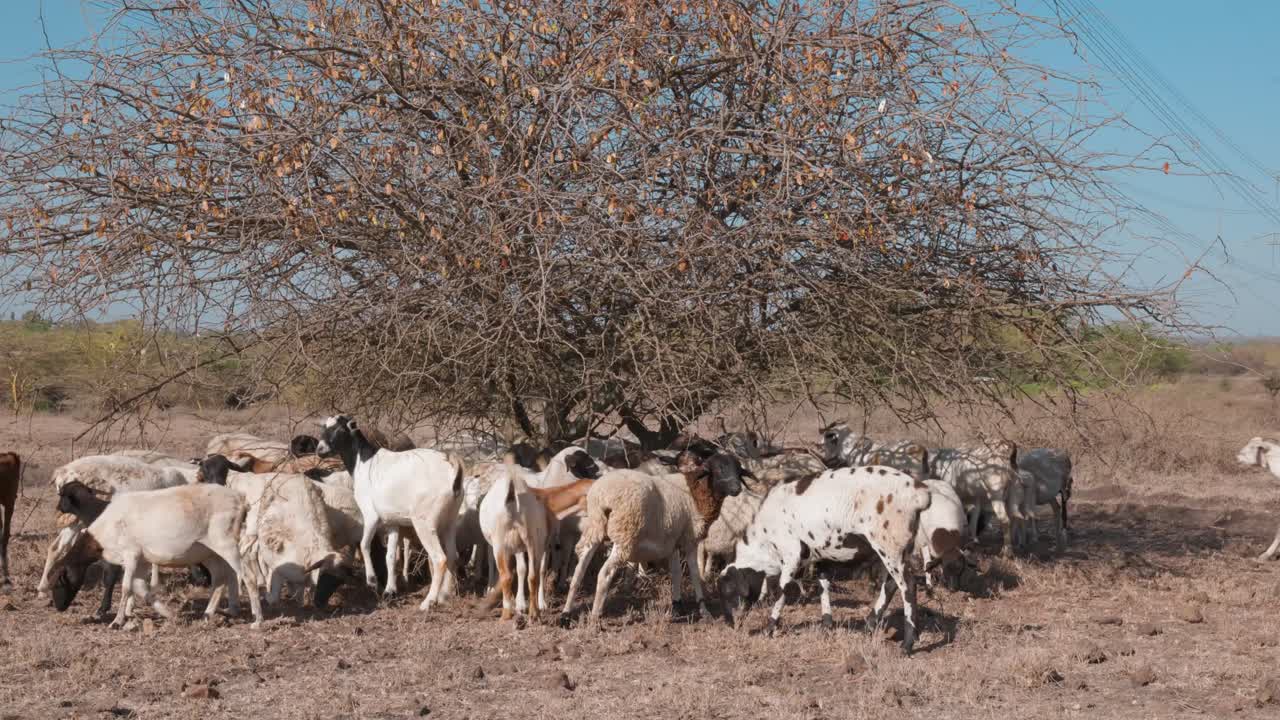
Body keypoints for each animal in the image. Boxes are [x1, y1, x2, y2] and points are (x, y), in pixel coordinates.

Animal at [50, 480, 263, 629]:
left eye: (58, 582)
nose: (58, 607)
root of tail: (240, 500)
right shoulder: (142, 560)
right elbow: (140, 588)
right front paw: (169, 613)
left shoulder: (131, 554)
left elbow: (126, 588)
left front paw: (117, 621)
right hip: (209, 553)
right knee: (219, 580)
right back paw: (208, 614)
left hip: (227, 544)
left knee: (249, 577)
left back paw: (257, 621)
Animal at [316, 415, 464, 610]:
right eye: (324, 427)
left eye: (340, 430)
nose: (320, 450)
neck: (364, 463)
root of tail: (452, 469)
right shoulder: (393, 522)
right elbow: (391, 556)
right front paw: (390, 590)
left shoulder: (370, 516)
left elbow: (364, 544)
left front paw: (372, 581)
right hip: (449, 520)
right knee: (453, 555)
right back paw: (445, 596)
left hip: (425, 523)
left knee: (439, 558)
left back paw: (428, 602)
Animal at [561, 450, 751, 622]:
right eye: (718, 469)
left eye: (738, 470)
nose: (737, 488)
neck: (696, 491)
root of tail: (603, 495)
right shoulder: (689, 539)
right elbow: (695, 574)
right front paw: (704, 610)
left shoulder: (673, 540)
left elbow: (676, 572)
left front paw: (677, 606)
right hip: (625, 533)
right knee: (605, 573)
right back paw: (595, 617)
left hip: (595, 526)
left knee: (580, 569)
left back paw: (566, 614)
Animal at [716, 465, 934, 653]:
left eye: (728, 591)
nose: (730, 624)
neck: (763, 540)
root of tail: (919, 492)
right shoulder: (820, 555)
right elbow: (823, 586)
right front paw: (827, 625)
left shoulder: (791, 555)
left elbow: (781, 590)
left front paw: (770, 627)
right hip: (895, 550)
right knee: (889, 586)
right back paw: (869, 626)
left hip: (889, 547)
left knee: (908, 586)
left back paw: (907, 645)